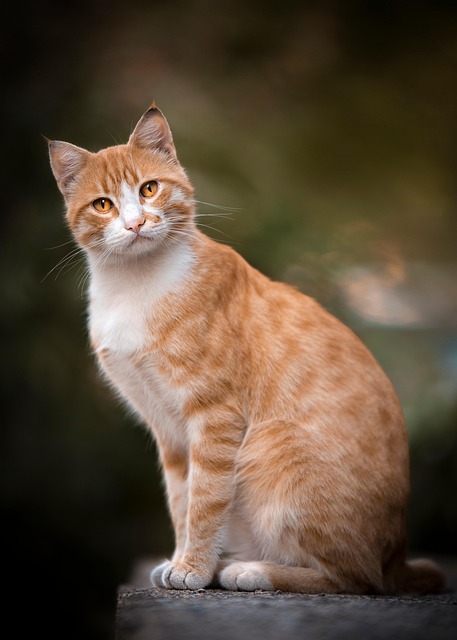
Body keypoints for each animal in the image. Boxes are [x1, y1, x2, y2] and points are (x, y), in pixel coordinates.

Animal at [48, 101, 444, 596]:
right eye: (103, 204)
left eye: (149, 189)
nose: (136, 223)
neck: (135, 287)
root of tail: (398, 558)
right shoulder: (169, 432)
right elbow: (182, 501)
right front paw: (183, 559)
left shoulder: (215, 417)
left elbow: (205, 501)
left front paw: (194, 568)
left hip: (271, 451)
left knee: (357, 578)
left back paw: (251, 570)